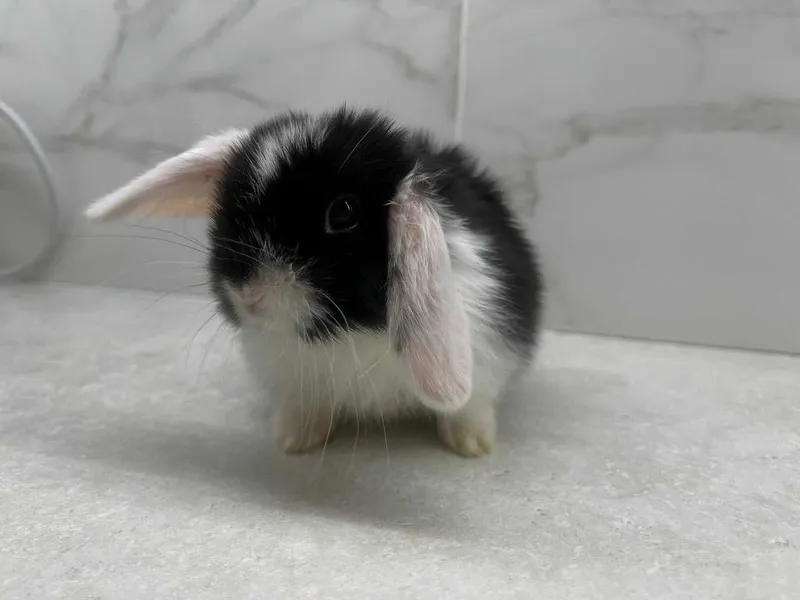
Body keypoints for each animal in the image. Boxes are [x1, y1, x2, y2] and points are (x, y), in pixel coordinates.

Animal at [85, 106, 543, 457]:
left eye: (342, 213)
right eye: (229, 204)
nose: (248, 296)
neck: (351, 330)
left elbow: (469, 407)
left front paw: (470, 445)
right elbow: (308, 410)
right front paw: (293, 441)